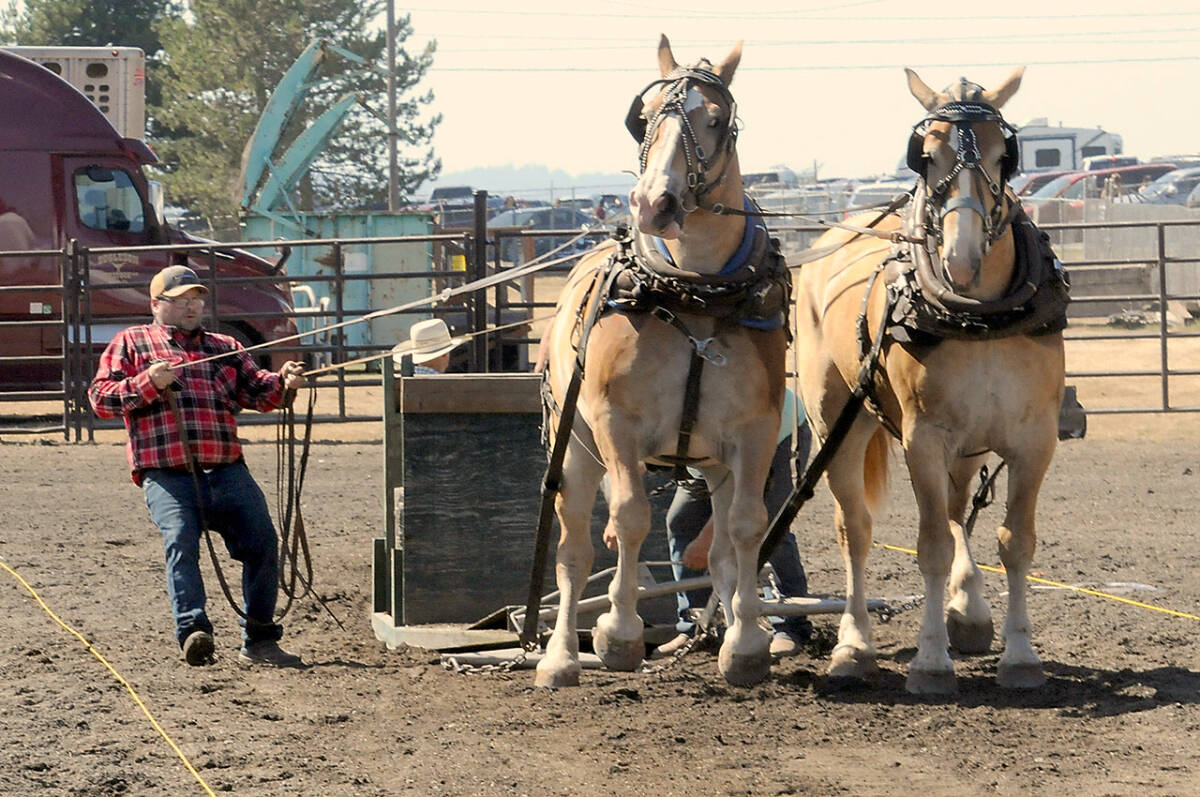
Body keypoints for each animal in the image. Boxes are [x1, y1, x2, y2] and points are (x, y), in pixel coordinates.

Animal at [540, 34, 792, 686]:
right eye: (644, 117)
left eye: (718, 120)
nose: (654, 202)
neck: (694, 293)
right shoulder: (616, 424)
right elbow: (630, 517)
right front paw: (619, 633)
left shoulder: (754, 433)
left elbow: (746, 527)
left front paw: (747, 644)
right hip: (573, 447)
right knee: (573, 550)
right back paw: (560, 657)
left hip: (712, 464)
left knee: (722, 548)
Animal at [796, 66, 1070, 691]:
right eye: (925, 155)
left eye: (1003, 154)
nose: (962, 259)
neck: (980, 315)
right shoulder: (922, 439)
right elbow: (930, 547)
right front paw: (930, 661)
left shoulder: (1034, 439)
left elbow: (1015, 542)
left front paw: (1021, 655)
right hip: (838, 425)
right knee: (856, 529)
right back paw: (854, 645)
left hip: (969, 442)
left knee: (955, 506)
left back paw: (967, 611)